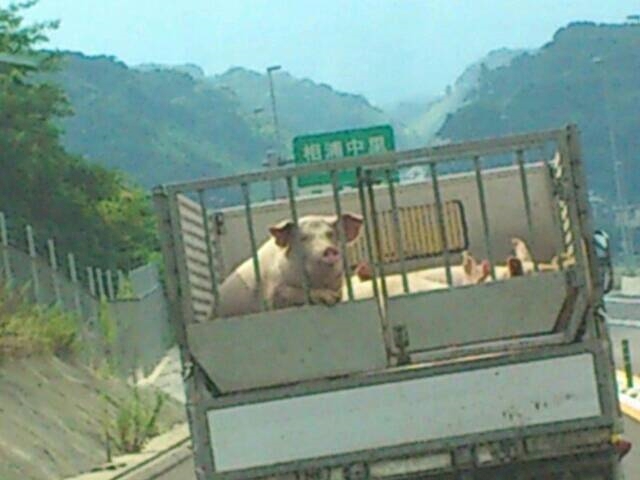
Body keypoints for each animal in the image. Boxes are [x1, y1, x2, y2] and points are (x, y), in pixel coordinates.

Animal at [212, 213, 363, 318]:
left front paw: (336, 297)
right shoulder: (273, 293)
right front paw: (330, 298)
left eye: (330, 234)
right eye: (303, 238)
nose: (328, 249)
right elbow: (289, 293)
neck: (318, 283)